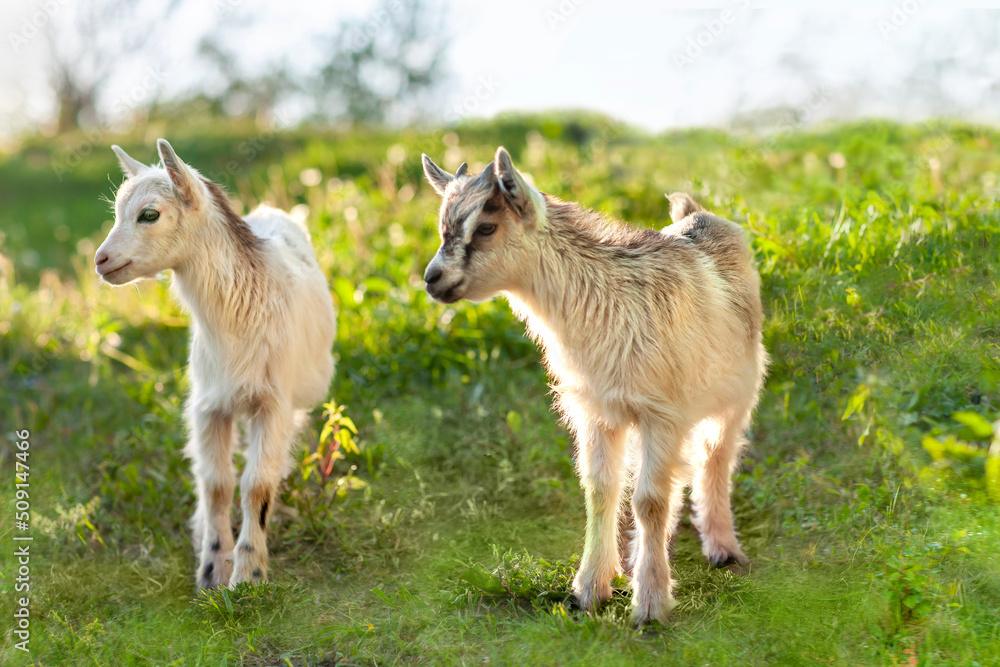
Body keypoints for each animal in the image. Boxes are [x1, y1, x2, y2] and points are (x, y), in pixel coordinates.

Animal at [96, 140, 336, 589]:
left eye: (150, 214)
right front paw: (212, 570)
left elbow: (255, 484)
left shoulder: (273, 403)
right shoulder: (209, 406)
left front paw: (249, 574)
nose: (101, 261)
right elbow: (216, 484)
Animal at [421, 147, 767, 624]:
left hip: (737, 394)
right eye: (442, 227)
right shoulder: (598, 412)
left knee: (715, 459)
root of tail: (699, 215)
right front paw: (590, 591)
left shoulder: (662, 413)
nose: (431, 278)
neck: (602, 302)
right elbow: (602, 491)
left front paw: (650, 605)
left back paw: (723, 549)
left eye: (487, 228)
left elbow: (648, 501)